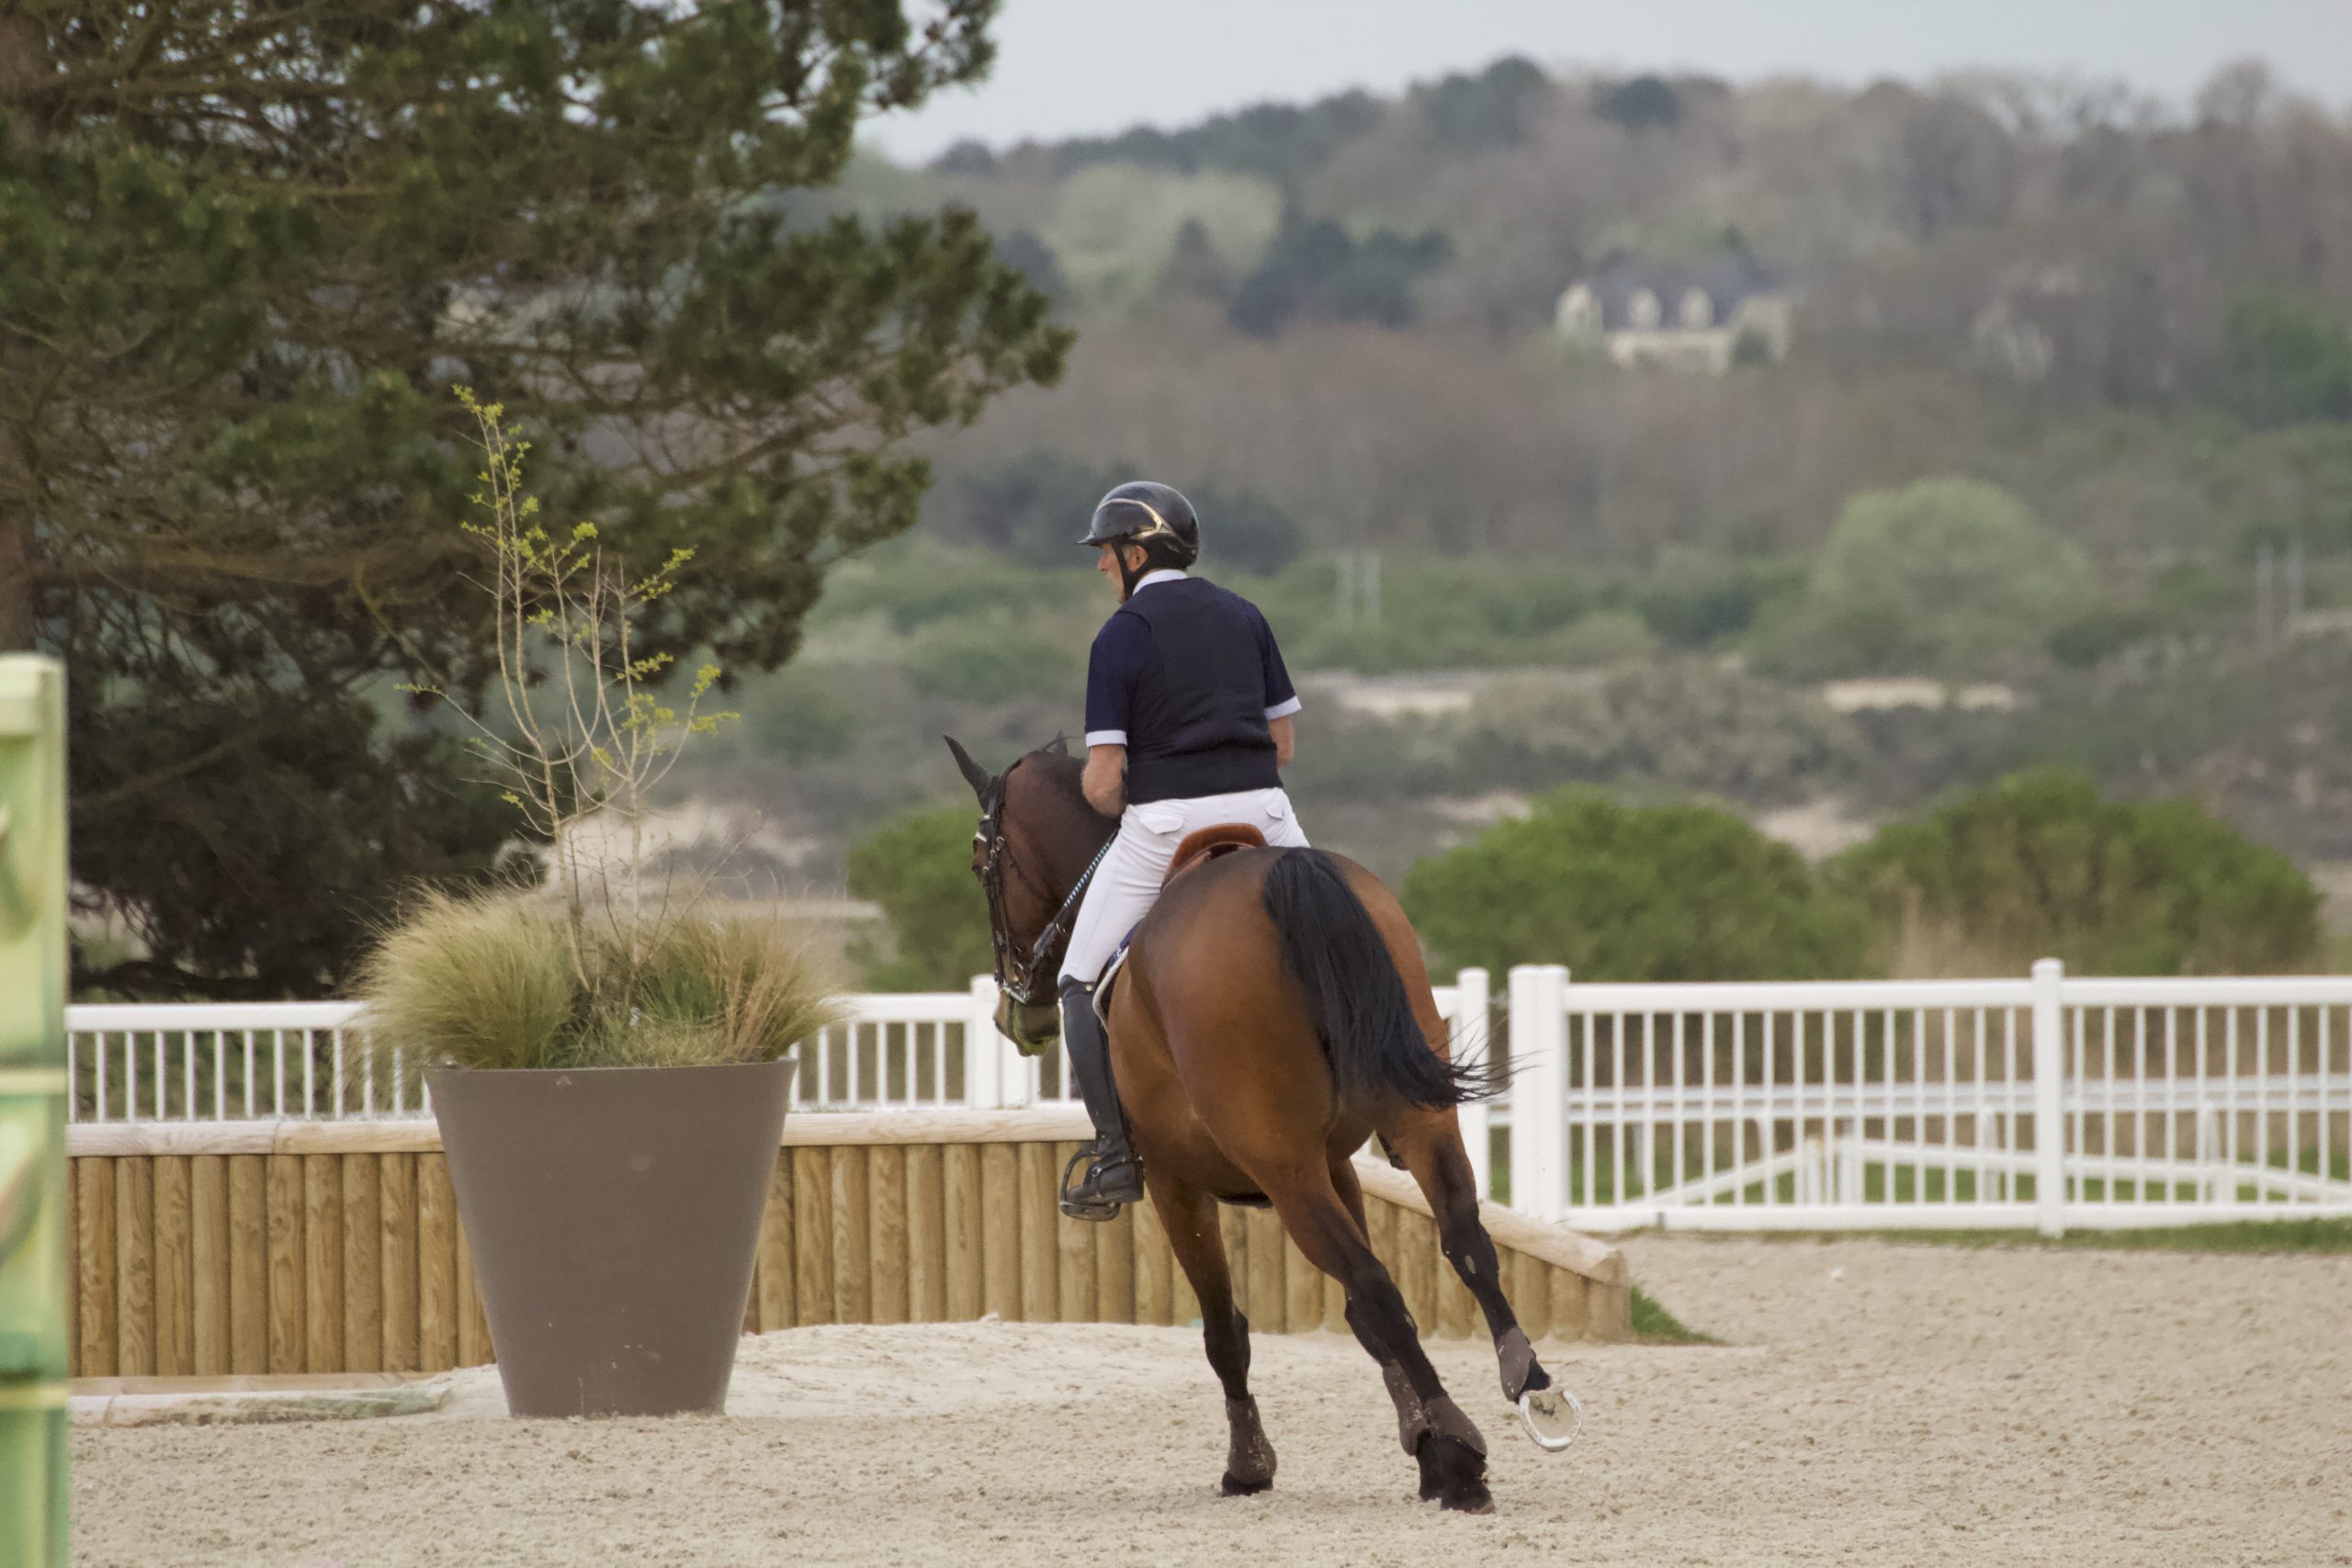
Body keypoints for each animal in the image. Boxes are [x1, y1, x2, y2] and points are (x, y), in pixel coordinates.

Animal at [945, 736, 1578, 1513]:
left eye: (983, 864)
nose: (1018, 1015)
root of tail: (1282, 879)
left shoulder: (1178, 1186)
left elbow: (1226, 1330)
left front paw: (1249, 1466)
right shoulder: (1337, 1166)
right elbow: (1366, 1321)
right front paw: (1421, 1444)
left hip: (1282, 1171)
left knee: (1375, 1284)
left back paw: (1463, 1453)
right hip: (1414, 1124)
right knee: (1463, 1241)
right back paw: (1527, 1388)